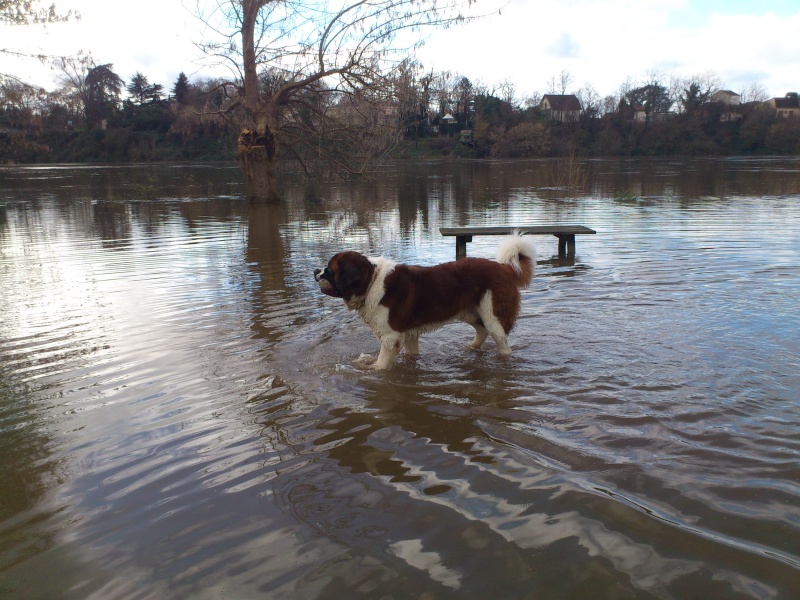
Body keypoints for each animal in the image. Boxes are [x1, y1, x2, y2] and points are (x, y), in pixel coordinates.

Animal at [316, 232, 536, 368]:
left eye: (329, 270)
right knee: (481, 330)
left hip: (493, 315)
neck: (371, 282)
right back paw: (470, 347)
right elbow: (411, 353)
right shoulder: (409, 334)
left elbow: (381, 364)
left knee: (501, 342)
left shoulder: (391, 337)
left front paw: (371, 369)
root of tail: (503, 268)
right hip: (470, 312)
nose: (315, 272)